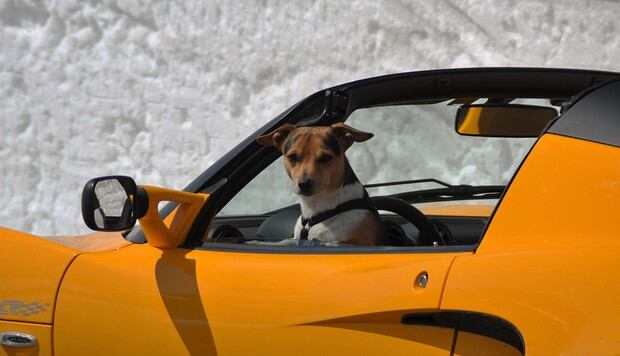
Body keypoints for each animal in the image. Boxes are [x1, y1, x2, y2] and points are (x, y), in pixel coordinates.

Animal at [254, 122, 386, 245]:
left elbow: (329, 242)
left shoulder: (361, 241)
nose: (304, 184)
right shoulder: (297, 238)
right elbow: (286, 241)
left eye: (326, 158)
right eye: (292, 157)